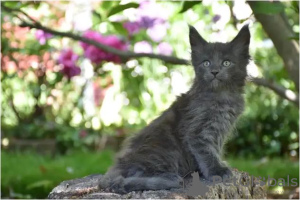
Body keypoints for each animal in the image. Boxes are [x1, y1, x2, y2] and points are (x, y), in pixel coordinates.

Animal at [98, 23, 251, 194]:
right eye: (206, 63)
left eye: (226, 63)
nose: (214, 72)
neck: (222, 96)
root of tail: (116, 166)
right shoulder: (197, 131)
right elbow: (206, 152)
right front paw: (217, 171)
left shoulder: (220, 131)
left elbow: (215, 149)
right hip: (164, 151)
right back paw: (170, 178)